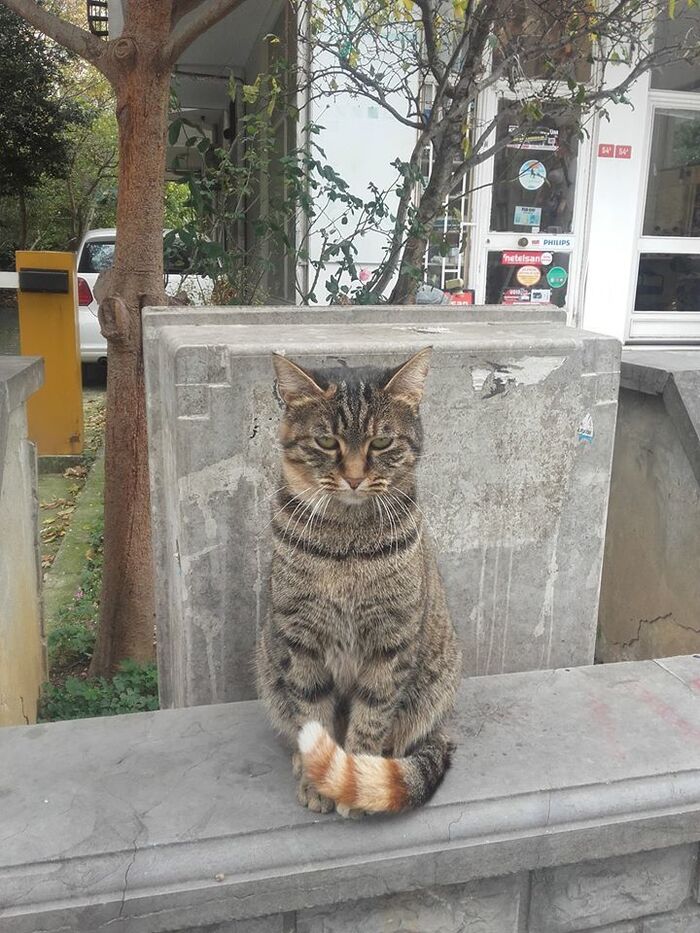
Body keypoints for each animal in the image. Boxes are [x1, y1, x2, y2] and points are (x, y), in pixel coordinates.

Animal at [254, 350, 462, 816]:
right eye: (327, 442)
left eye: (381, 443)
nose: (352, 477)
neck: (345, 545)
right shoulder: (301, 641)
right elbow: (312, 712)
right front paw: (319, 782)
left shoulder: (391, 641)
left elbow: (372, 715)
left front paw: (356, 775)